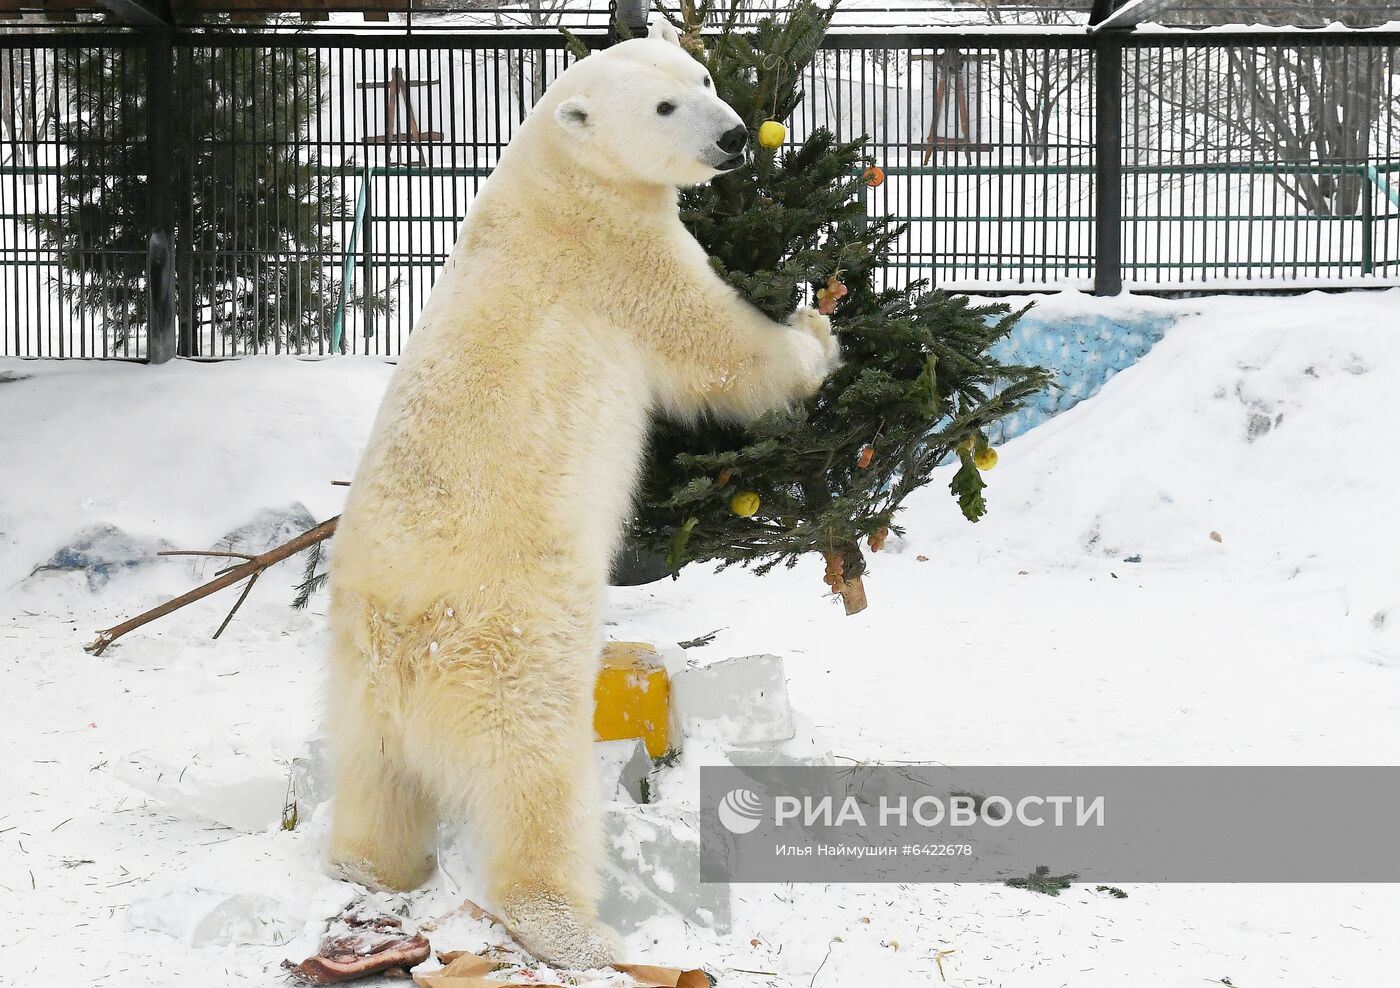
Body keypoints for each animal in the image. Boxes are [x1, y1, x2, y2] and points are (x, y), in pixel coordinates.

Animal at [322, 19, 834, 968]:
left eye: (704, 77)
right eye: (666, 105)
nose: (734, 138)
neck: (556, 177)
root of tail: (409, 654)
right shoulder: (620, 259)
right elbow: (716, 346)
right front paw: (815, 333)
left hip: (355, 675)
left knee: (377, 776)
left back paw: (369, 869)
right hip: (508, 652)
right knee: (535, 780)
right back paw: (573, 931)